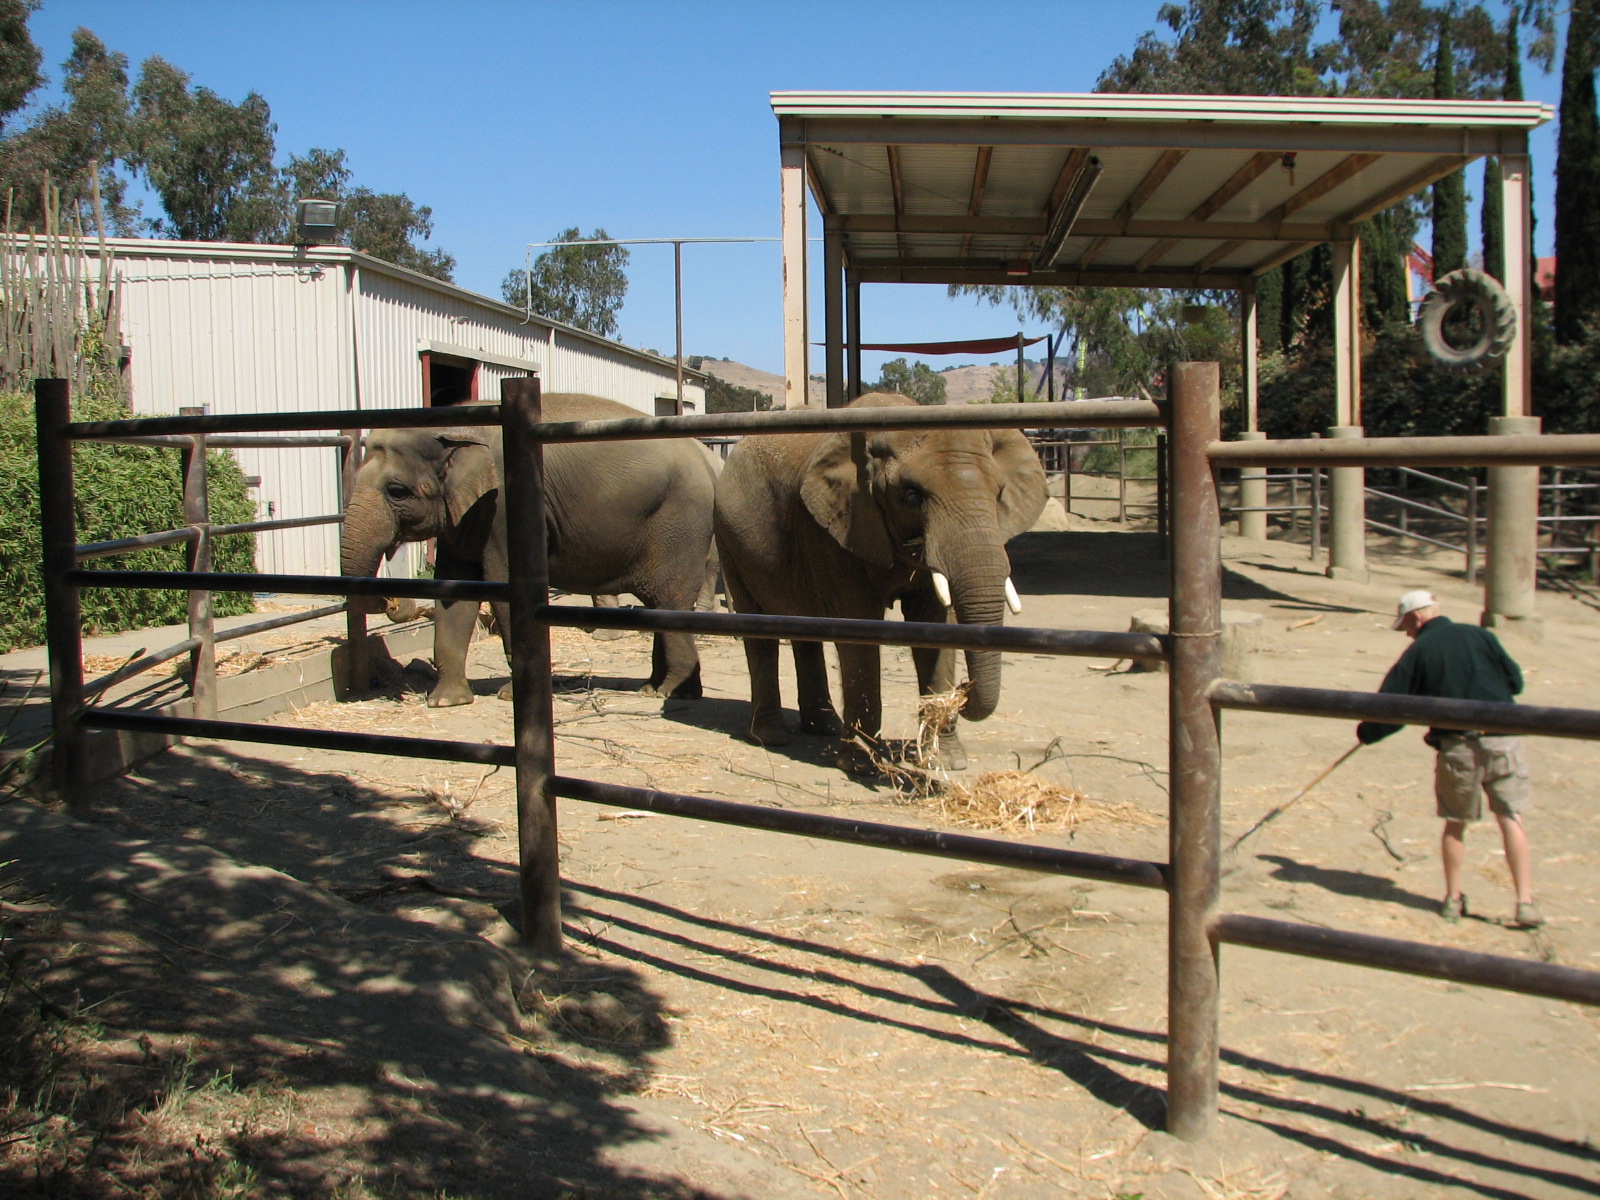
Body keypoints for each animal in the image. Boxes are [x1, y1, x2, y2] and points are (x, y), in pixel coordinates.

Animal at [341, 393, 719, 707]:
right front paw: (445, 701)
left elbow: (502, 582)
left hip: (678, 523)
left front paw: (510, 696)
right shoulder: (463, 515)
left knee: (669, 601)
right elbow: (454, 590)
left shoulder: (505, 506)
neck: (452, 427)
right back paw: (653, 687)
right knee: (658, 604)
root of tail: (706, 457)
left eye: (396, 491)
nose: (393, 601)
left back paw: (674, 692)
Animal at [713, 391, 1047, 771]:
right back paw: (769, 736)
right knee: (758, 629)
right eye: (912, 496)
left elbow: (935, 623)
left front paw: (944, 762)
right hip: (730, 536)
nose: (963, 690)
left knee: (803, 627)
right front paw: (861, 766)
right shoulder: (836, 527)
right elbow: (859, 629)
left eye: (999, 492)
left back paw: (824, 727)